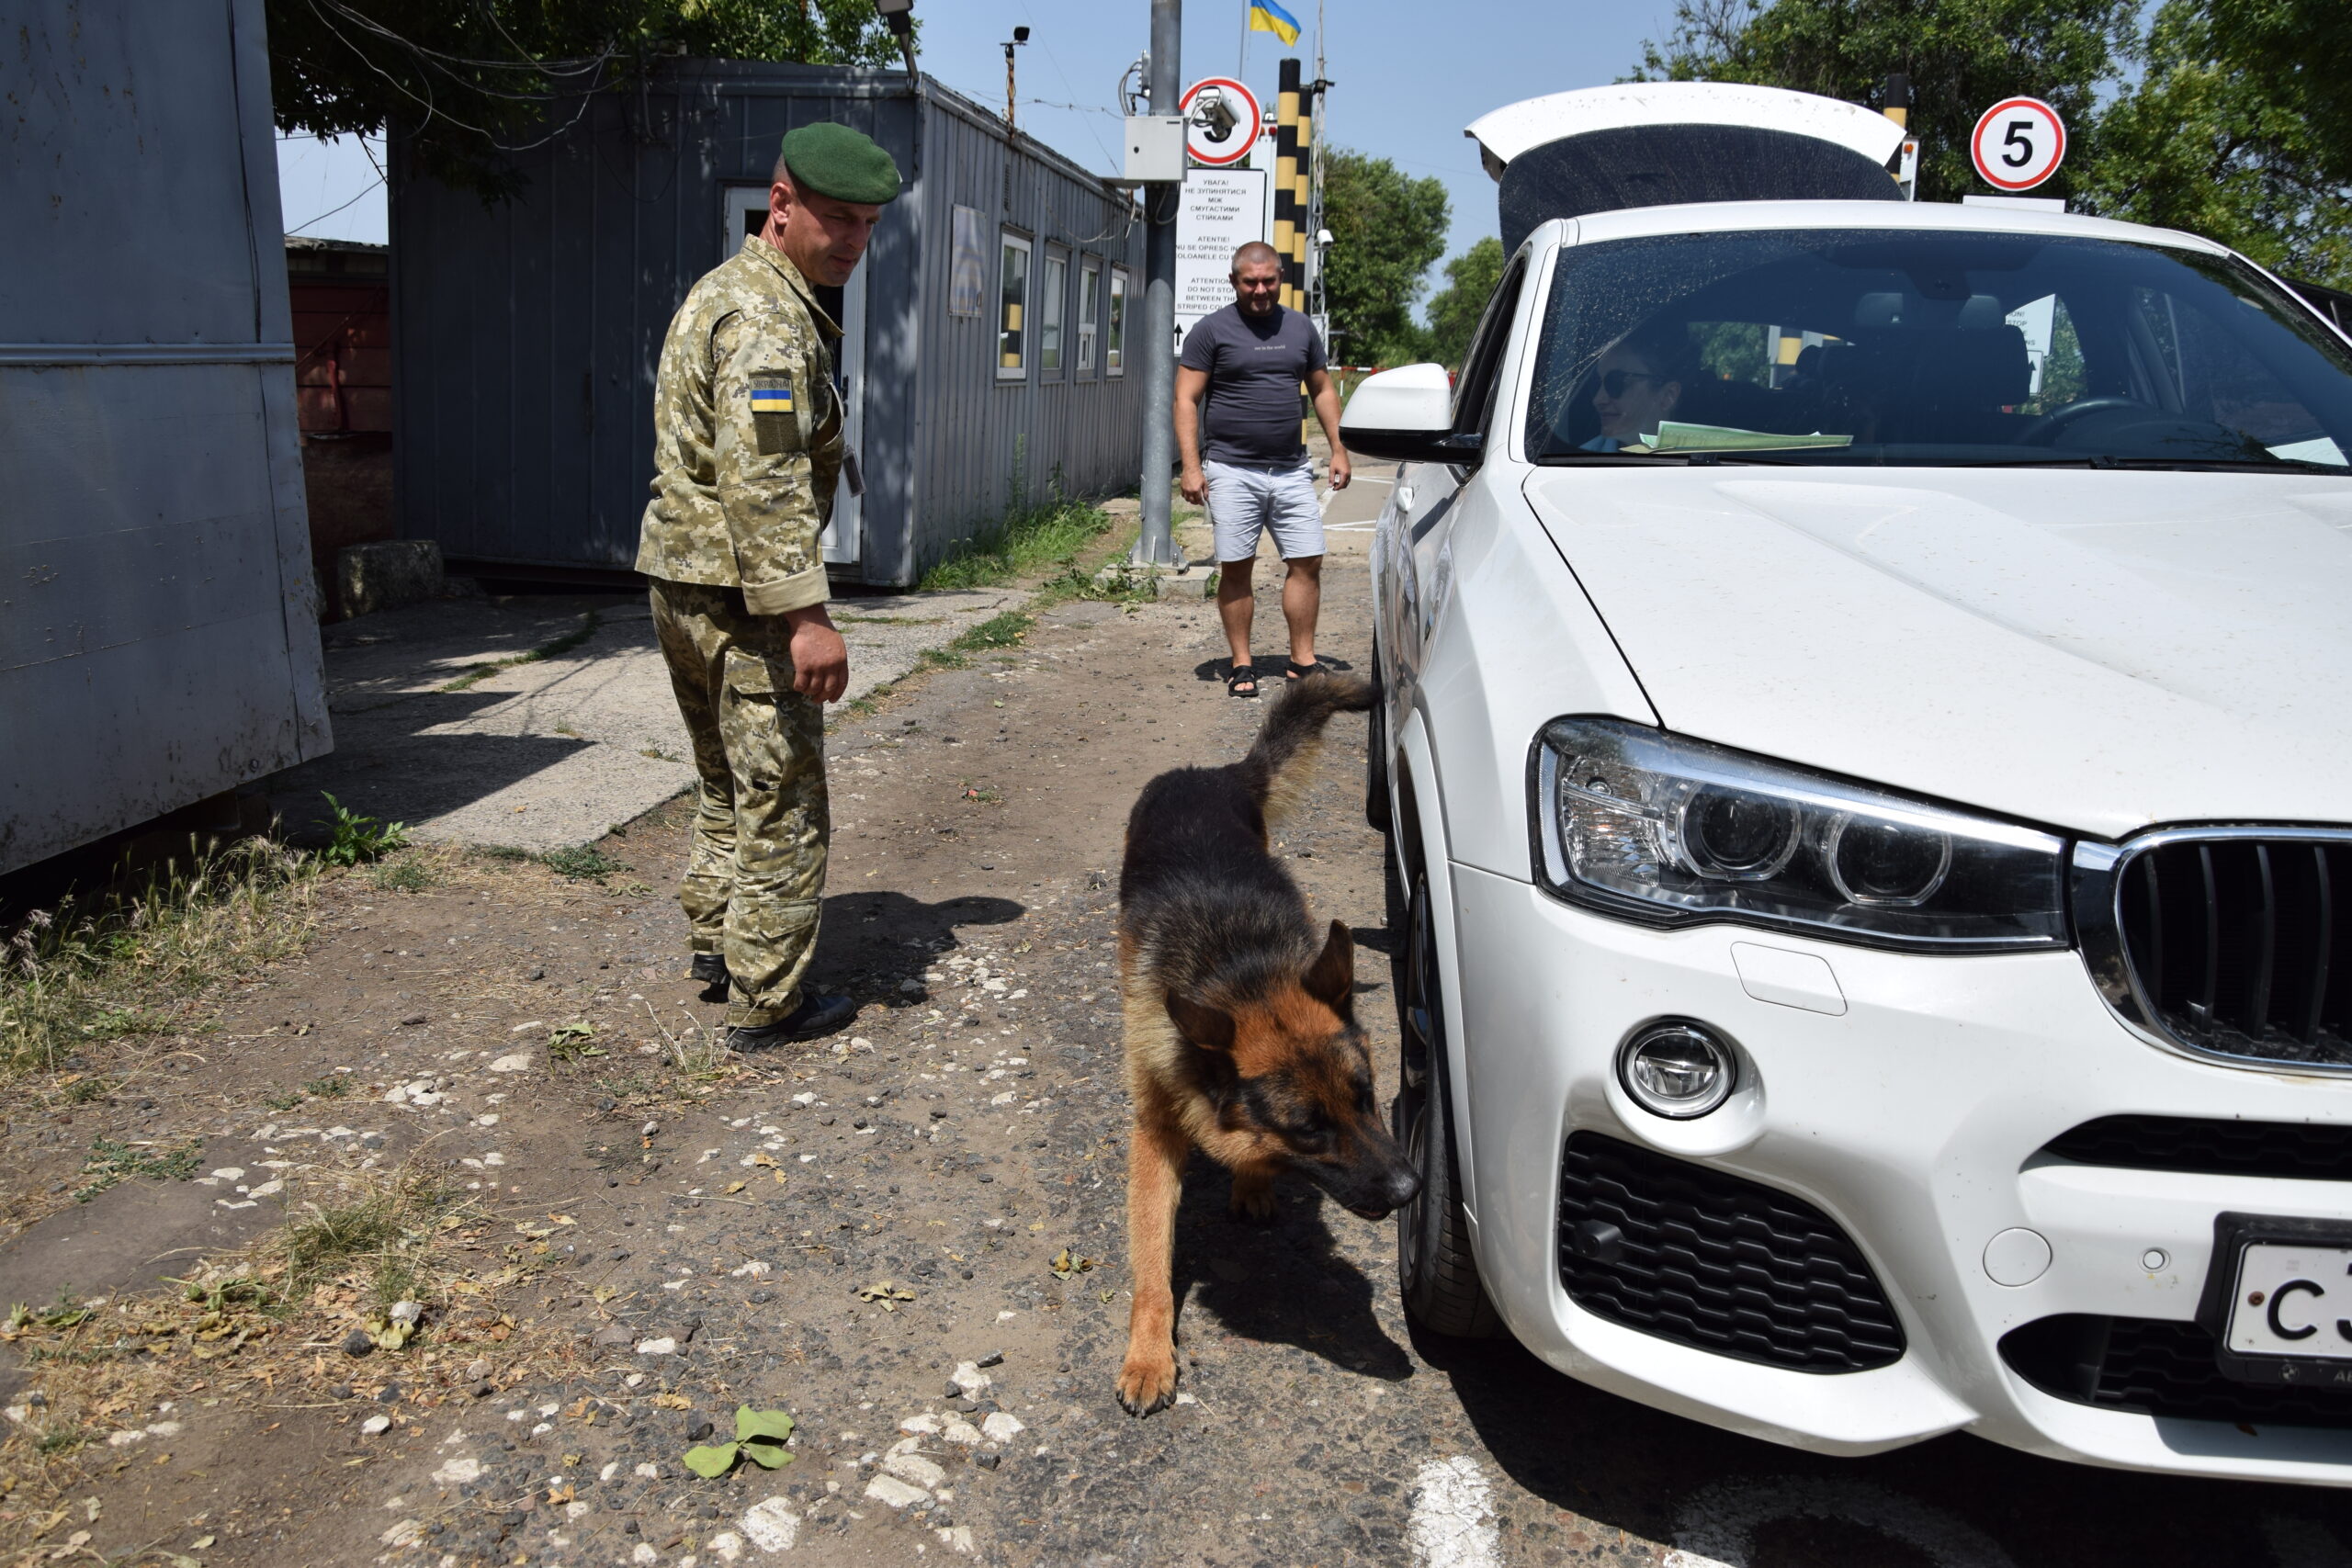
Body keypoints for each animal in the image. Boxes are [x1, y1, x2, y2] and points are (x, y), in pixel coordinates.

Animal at [1114, 671, 1420, 1410]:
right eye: (1309, 1129)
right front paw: (1149, 1354)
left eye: (1366, 1098)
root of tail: (1214, 772)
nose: (1411, 1189)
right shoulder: (1154, 1129)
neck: (1238, 971)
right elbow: (1151, 1257)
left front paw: (1253, 1176)